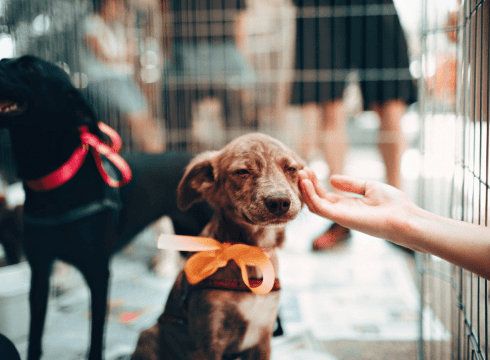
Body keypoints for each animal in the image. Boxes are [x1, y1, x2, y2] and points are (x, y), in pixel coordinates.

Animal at [0, 56, 213, 360]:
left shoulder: (98, 273)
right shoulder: (39, 272)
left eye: (29, 67)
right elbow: (34, 338)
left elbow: (96, 337)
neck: (56, 183)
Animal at [130, 134, 306, 360]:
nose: (279, 202)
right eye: (242, 172)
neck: (250, 254)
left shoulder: (263, 337)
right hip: (149, 335)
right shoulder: (209, 340)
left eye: (291, 169)